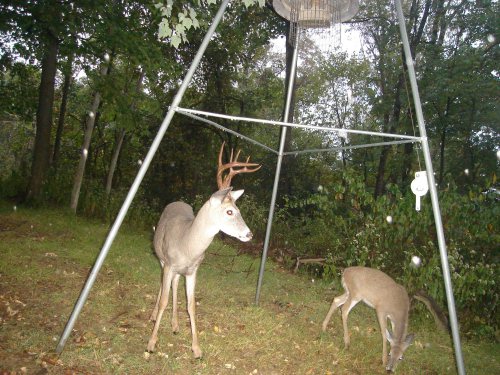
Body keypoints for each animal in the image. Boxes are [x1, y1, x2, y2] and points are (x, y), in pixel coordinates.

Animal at [146, 143, 260, 358]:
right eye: (229, 211)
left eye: (238, 209)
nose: (249, 234)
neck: (187, 244)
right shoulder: (169, 264)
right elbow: (164, 299)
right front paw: (151, 343)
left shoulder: (193, 271)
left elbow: (191, 305)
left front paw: (196, 349)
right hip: (162, 259)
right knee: (162, 285)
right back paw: (154, 316)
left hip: (178, 271)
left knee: (174, 285)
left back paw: (175, 325)